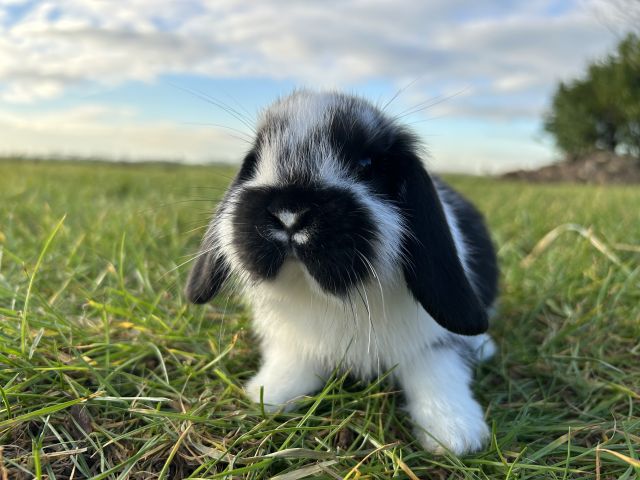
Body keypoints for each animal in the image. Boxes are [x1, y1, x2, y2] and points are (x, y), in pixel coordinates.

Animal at [185, 89, 500, 454]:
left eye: (366, 165)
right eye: (254, 162)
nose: (289, 213)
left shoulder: (432, 342)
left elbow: (437, 371)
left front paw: (454, 433)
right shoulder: (295, 341)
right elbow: (293, 362)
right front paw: (270, 393)